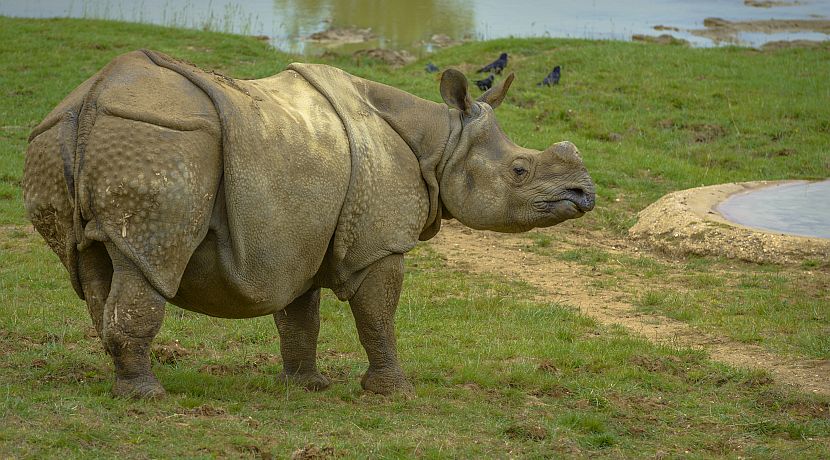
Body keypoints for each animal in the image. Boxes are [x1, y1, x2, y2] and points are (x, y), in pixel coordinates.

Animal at [23, 50, 595, 398]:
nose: (585, 194)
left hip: (64, 136)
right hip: (162, 141)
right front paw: (393, 392)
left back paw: (126, 385)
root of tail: (92, 100)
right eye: (520, 170)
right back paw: (150, 396)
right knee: (150, 260)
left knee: (95, 264)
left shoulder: (297, 232)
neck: (443, 140)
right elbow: (377, 315)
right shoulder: (379, 243)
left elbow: (300, 316)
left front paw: (306, 386)